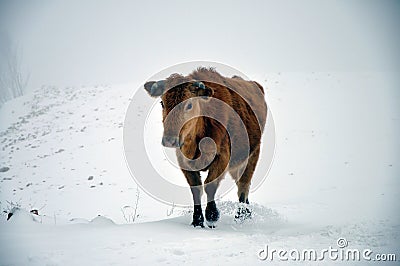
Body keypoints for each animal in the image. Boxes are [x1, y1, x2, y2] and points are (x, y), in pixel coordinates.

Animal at [143, 67, 266, 228]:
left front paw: (212, 216)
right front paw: (197, 221)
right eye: (162, 103)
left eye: (189, 105)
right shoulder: (184, 162)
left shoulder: (222, 158)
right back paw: (246, 215)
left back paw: (240, 217)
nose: (169, 140)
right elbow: (196, 189)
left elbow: (210, 185)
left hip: (252, 157)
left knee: (243, 187)